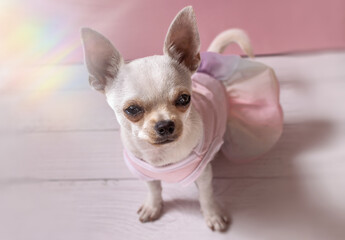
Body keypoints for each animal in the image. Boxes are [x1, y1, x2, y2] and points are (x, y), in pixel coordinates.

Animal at [80, 6, 253, 231]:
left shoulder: (204, 175)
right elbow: (154, 190)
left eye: (184, 99)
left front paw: (212, 214)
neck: (162, 154)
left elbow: (206, 195)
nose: (165, 125)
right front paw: (153, 206)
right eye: (132, 110)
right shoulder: (147, 175)